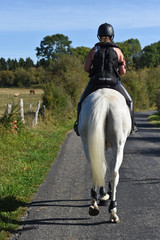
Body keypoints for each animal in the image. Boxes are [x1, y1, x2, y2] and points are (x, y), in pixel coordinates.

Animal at [78, 88, 131, 223]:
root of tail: (103, 99)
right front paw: (105, 195)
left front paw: (102, 195)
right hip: (118, 145)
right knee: (114, 173)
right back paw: (113, 212)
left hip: (87, 142)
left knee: (96, 168)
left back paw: (94, 205)